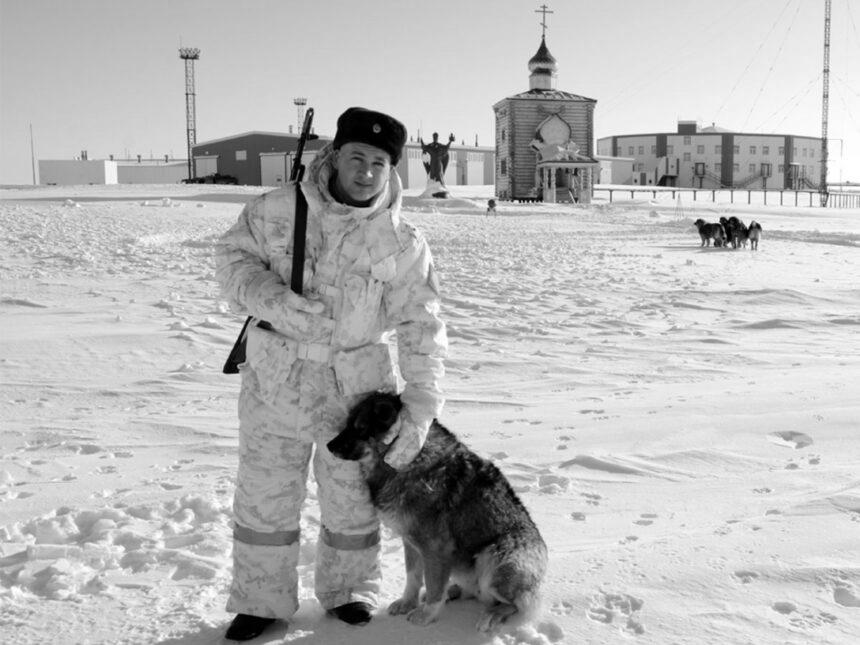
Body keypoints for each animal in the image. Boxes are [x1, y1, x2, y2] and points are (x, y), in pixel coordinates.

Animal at [326, 390, 548, 632]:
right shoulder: (411, 542)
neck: (406, 462)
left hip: (494, 558)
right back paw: (453, 591)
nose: (328, 445)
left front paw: (425, 616)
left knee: (515, 606)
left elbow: (433, 586)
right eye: (348, 423)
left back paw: (490, 616)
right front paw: (408, 603)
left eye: (360, 427)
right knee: (472, 592)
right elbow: (413, 577)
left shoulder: (435, 548)